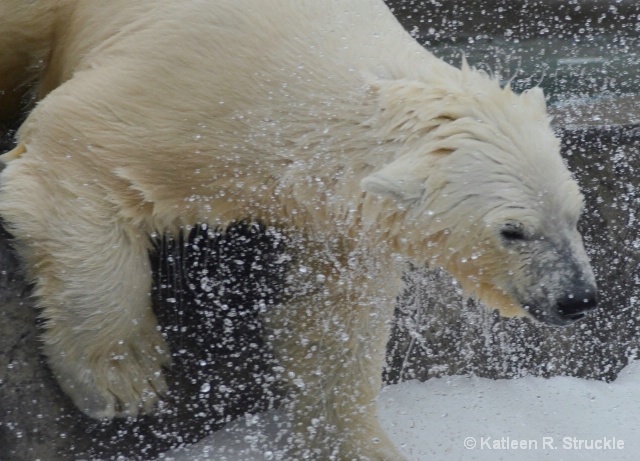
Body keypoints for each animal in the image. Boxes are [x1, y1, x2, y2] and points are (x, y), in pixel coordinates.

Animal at [1, 0, 600, 460]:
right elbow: (73, 156)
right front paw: (124, 380)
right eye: (513, 231)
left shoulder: (338, 216)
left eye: (575, 213)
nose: (577, 298)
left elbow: (334, 323)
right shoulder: (180, 93)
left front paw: (359, 444)